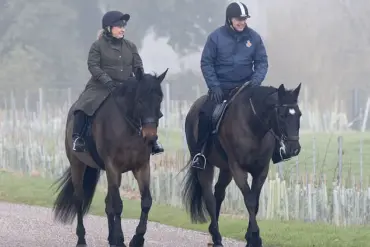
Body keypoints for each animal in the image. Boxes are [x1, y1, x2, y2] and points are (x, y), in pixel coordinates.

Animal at [52, 68, 168, 247]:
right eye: (140, 100)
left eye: (159, 100)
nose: (150, 137)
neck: (129, 129)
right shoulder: (113, 167)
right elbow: (118, 205)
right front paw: (120, 239)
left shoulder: (141, 167)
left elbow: (146, 201)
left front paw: (137, 238)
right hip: (78, 164)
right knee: (79, 199)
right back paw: (82, 239)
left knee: (108, 203)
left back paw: (110, 238)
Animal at [181, 83, 302, 247]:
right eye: (282, 115)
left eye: (299, 115)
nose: (294, 149)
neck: (253, 126)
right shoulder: (238, 169)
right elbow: (249, 201)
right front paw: (255, 237)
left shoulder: (261, 171)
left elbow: (255, 203)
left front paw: (250, 237)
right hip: (206, 166)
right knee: (209, 197)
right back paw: (217, 237)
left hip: (226, 170)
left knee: (219, 193)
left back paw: (214, 233)